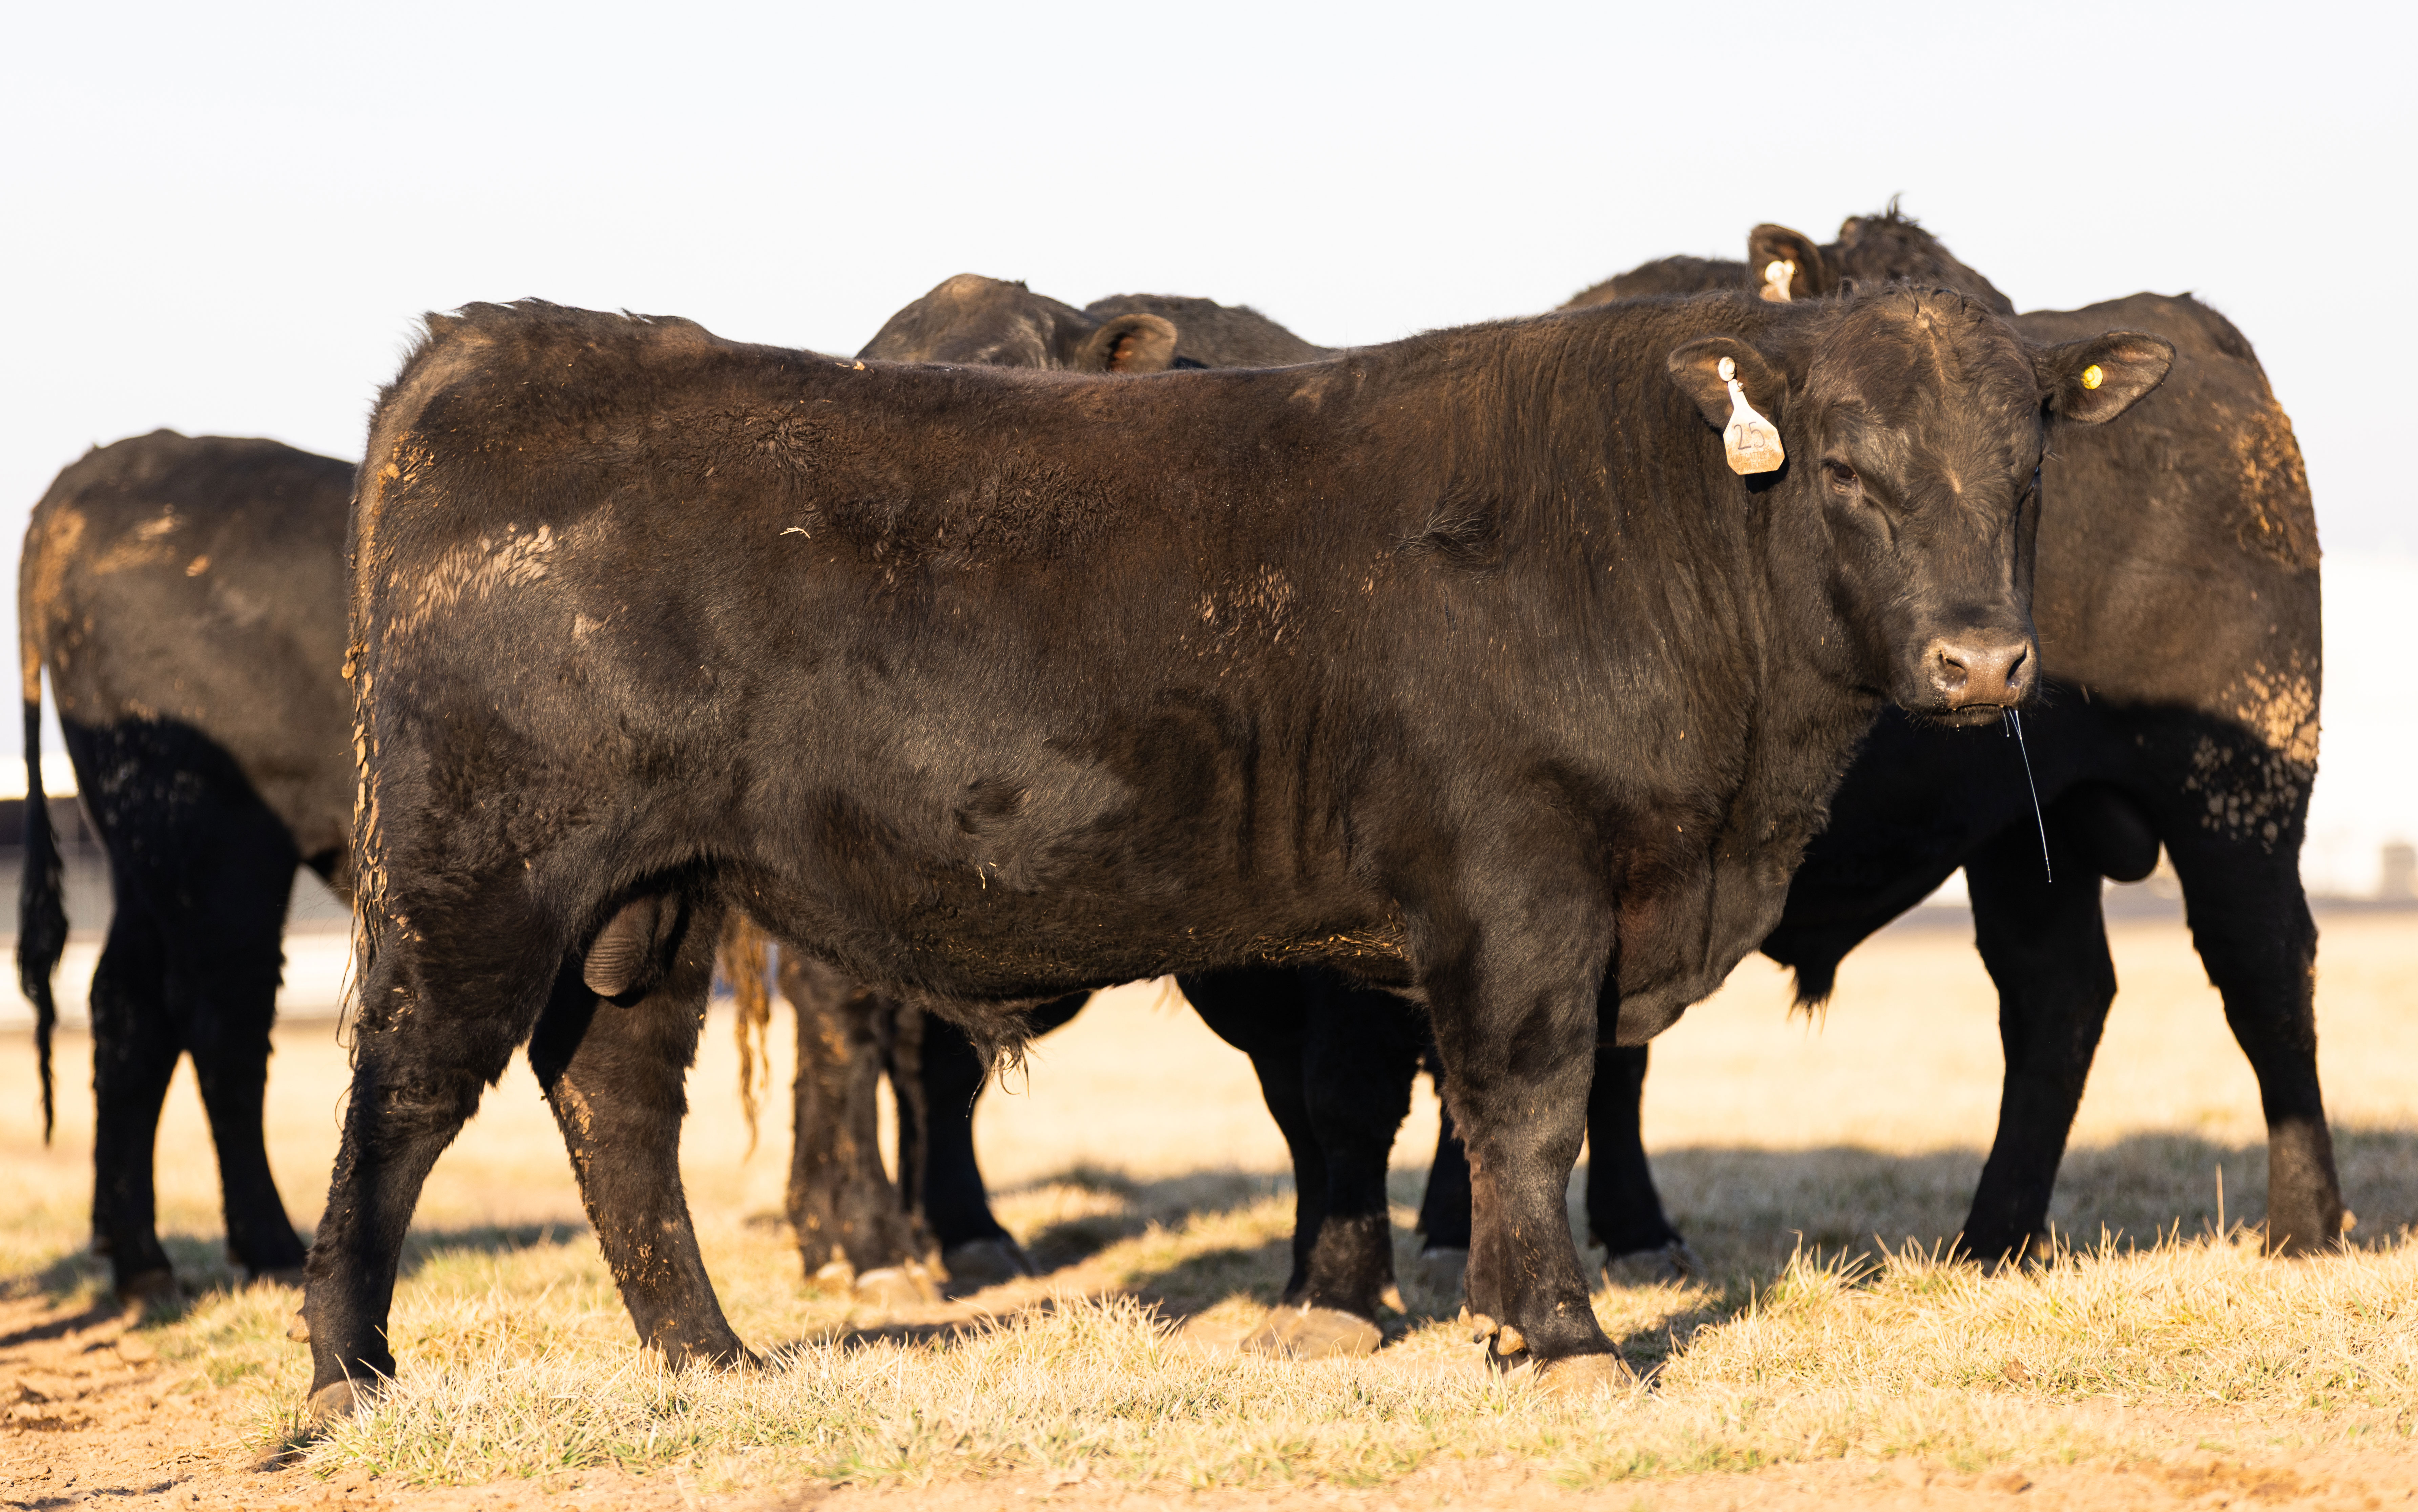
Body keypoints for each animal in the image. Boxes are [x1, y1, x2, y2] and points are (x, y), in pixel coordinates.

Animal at [17, 431, 354, 1301]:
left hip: (148, 853)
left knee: (129, 1006)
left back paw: (139, 1256)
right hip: (220, 849)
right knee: (223, 1019)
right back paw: (269, 1244)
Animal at [301, 288, 2169, 1420]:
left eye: (2023, 463)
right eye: (1846, 464)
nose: (1981, 664)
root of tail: (504, 347)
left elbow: (1431, 1118)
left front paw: (1484, 1315)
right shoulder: (1517, 889)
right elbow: (1523, 1103)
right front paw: (1560, 1335)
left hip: (650, 897)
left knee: (616, 1098)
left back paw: (709, 1356)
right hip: (476, 879)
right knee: (402, 1090)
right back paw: (350, 1368)